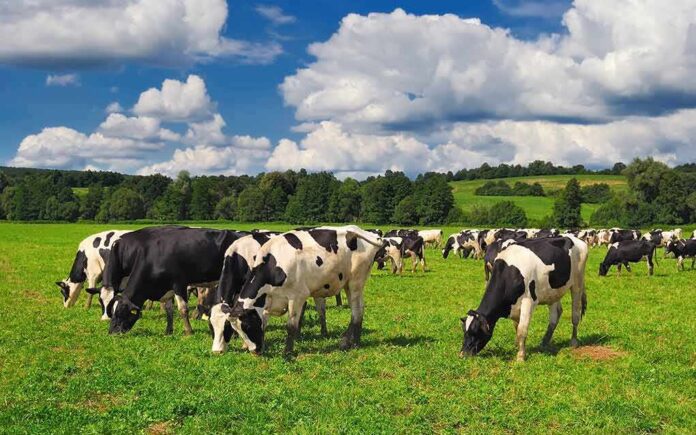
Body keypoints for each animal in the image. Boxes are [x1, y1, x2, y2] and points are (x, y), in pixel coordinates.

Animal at [92, 226, 244, 335]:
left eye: (121, 312)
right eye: (109, 308)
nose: (111, 332)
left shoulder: (179, 284)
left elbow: (182, 309)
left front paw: (188, 331)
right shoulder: (166, 287)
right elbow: (169, 310)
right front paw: (168, 331)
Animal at [209, 226, 384, 355]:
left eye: (247, 326)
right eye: (235, 329)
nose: (255, 351)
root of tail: (356, 230)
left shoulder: (297, 297)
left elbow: (291, 326)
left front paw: (287, 353)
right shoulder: (266, 301)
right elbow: (264, 323)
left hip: (356, 282)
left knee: (357, 311)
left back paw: (352, 343)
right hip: (348, 284)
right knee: (358, 310)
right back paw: (350, 342)